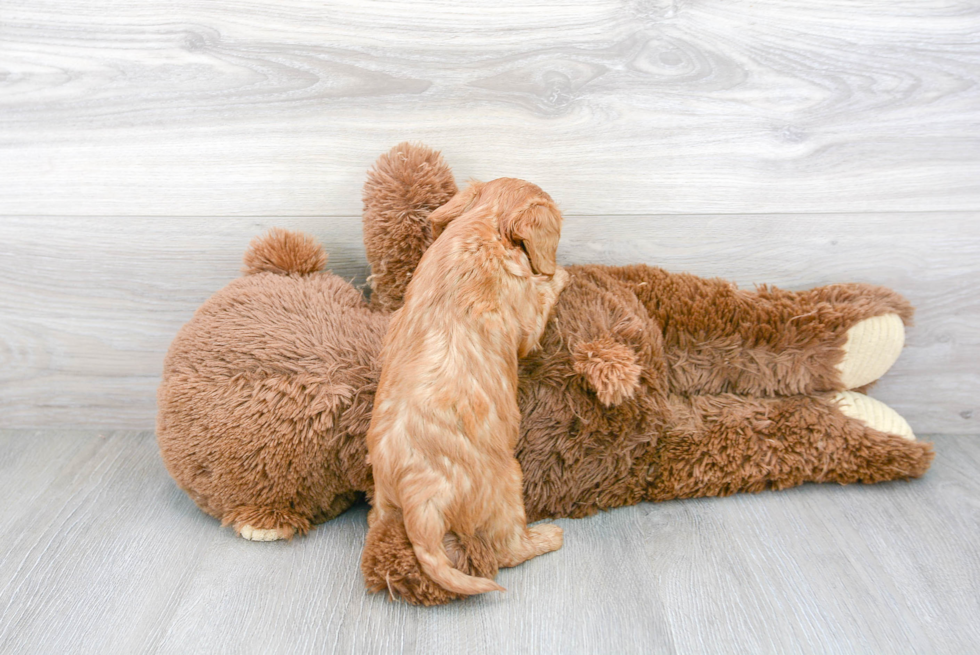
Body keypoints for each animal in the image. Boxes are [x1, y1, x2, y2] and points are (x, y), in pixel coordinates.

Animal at [364, 177, 572, 596]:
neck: (484, 225)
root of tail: (418, 500)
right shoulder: (527, 320)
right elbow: (541, 296)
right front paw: (557, 274)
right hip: (508, 485)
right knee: (509, 549)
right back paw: (548, 536)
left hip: (384, 502)